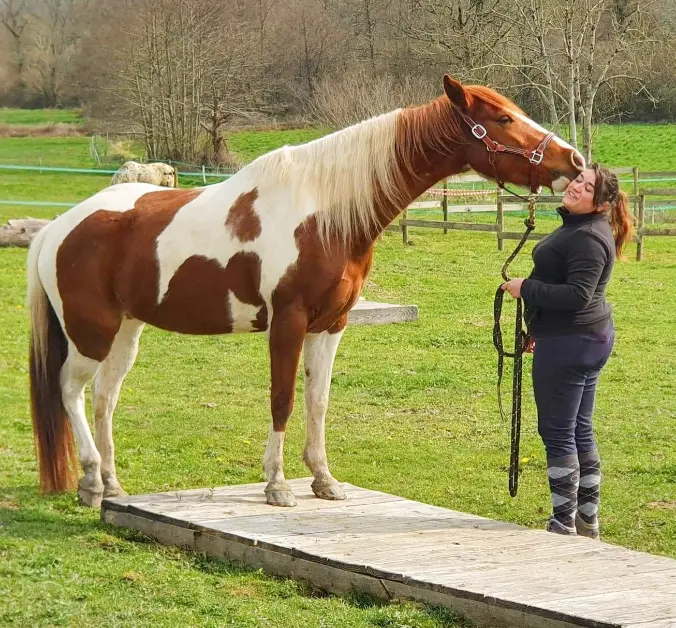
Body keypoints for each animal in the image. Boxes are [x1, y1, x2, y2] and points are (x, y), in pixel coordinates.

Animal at [27, 73, 588, 508]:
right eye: (502, 120)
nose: (575, 162)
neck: (324, 213)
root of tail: (57, 229)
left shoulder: (331, 325)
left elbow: (317, 401)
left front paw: (323, 480)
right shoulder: (288, 323)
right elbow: (282, 400)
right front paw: (276, 486)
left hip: (125, 332)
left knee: (105, 397)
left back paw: (112, 485)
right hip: (91, 334)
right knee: (71, 390)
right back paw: (92, 482)